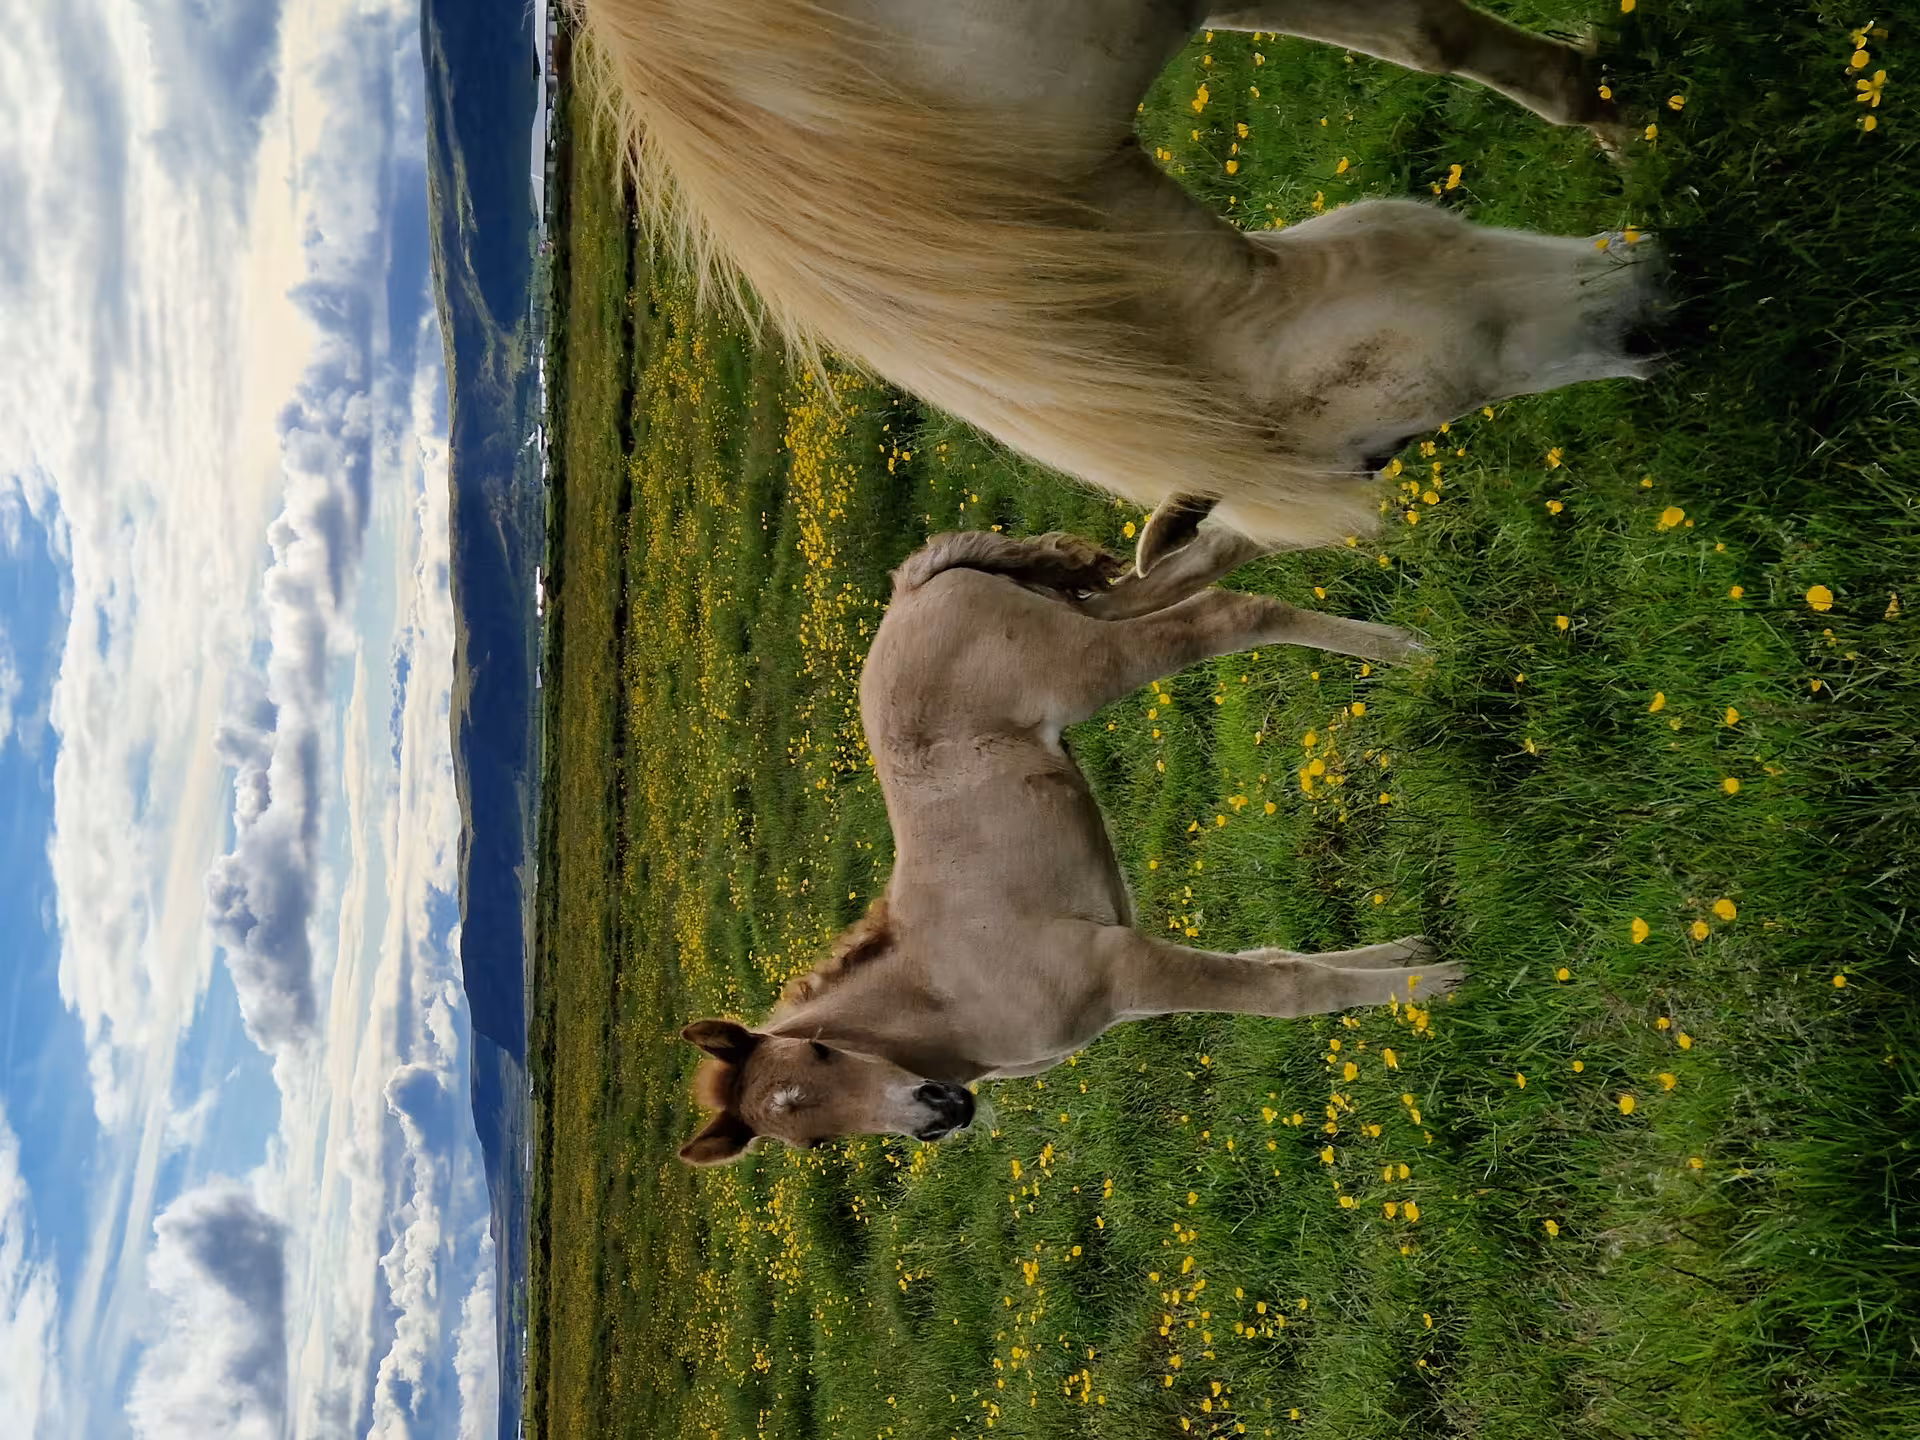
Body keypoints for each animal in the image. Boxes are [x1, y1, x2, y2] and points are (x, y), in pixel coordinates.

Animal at [573, 0, 1664, 569]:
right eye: (1386, 451)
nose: (1657, 323)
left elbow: (1431, 38)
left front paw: (1608, 109)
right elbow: (1430, 38)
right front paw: (1613, 107)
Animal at [678, 525, 1462, 1162]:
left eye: (822, 1052)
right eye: (811, 1142)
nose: (940, 1113)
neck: (947, 998)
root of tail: (909, 591)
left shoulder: (1120, 966)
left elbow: (1286, 991)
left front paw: (1438, 985)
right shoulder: (1125, 996)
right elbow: (1273, 960)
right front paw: (1410, 957)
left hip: (1082, 663)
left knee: (1223, 613)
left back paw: (1414, 652)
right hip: (1076, 624)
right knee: (1175, 578)